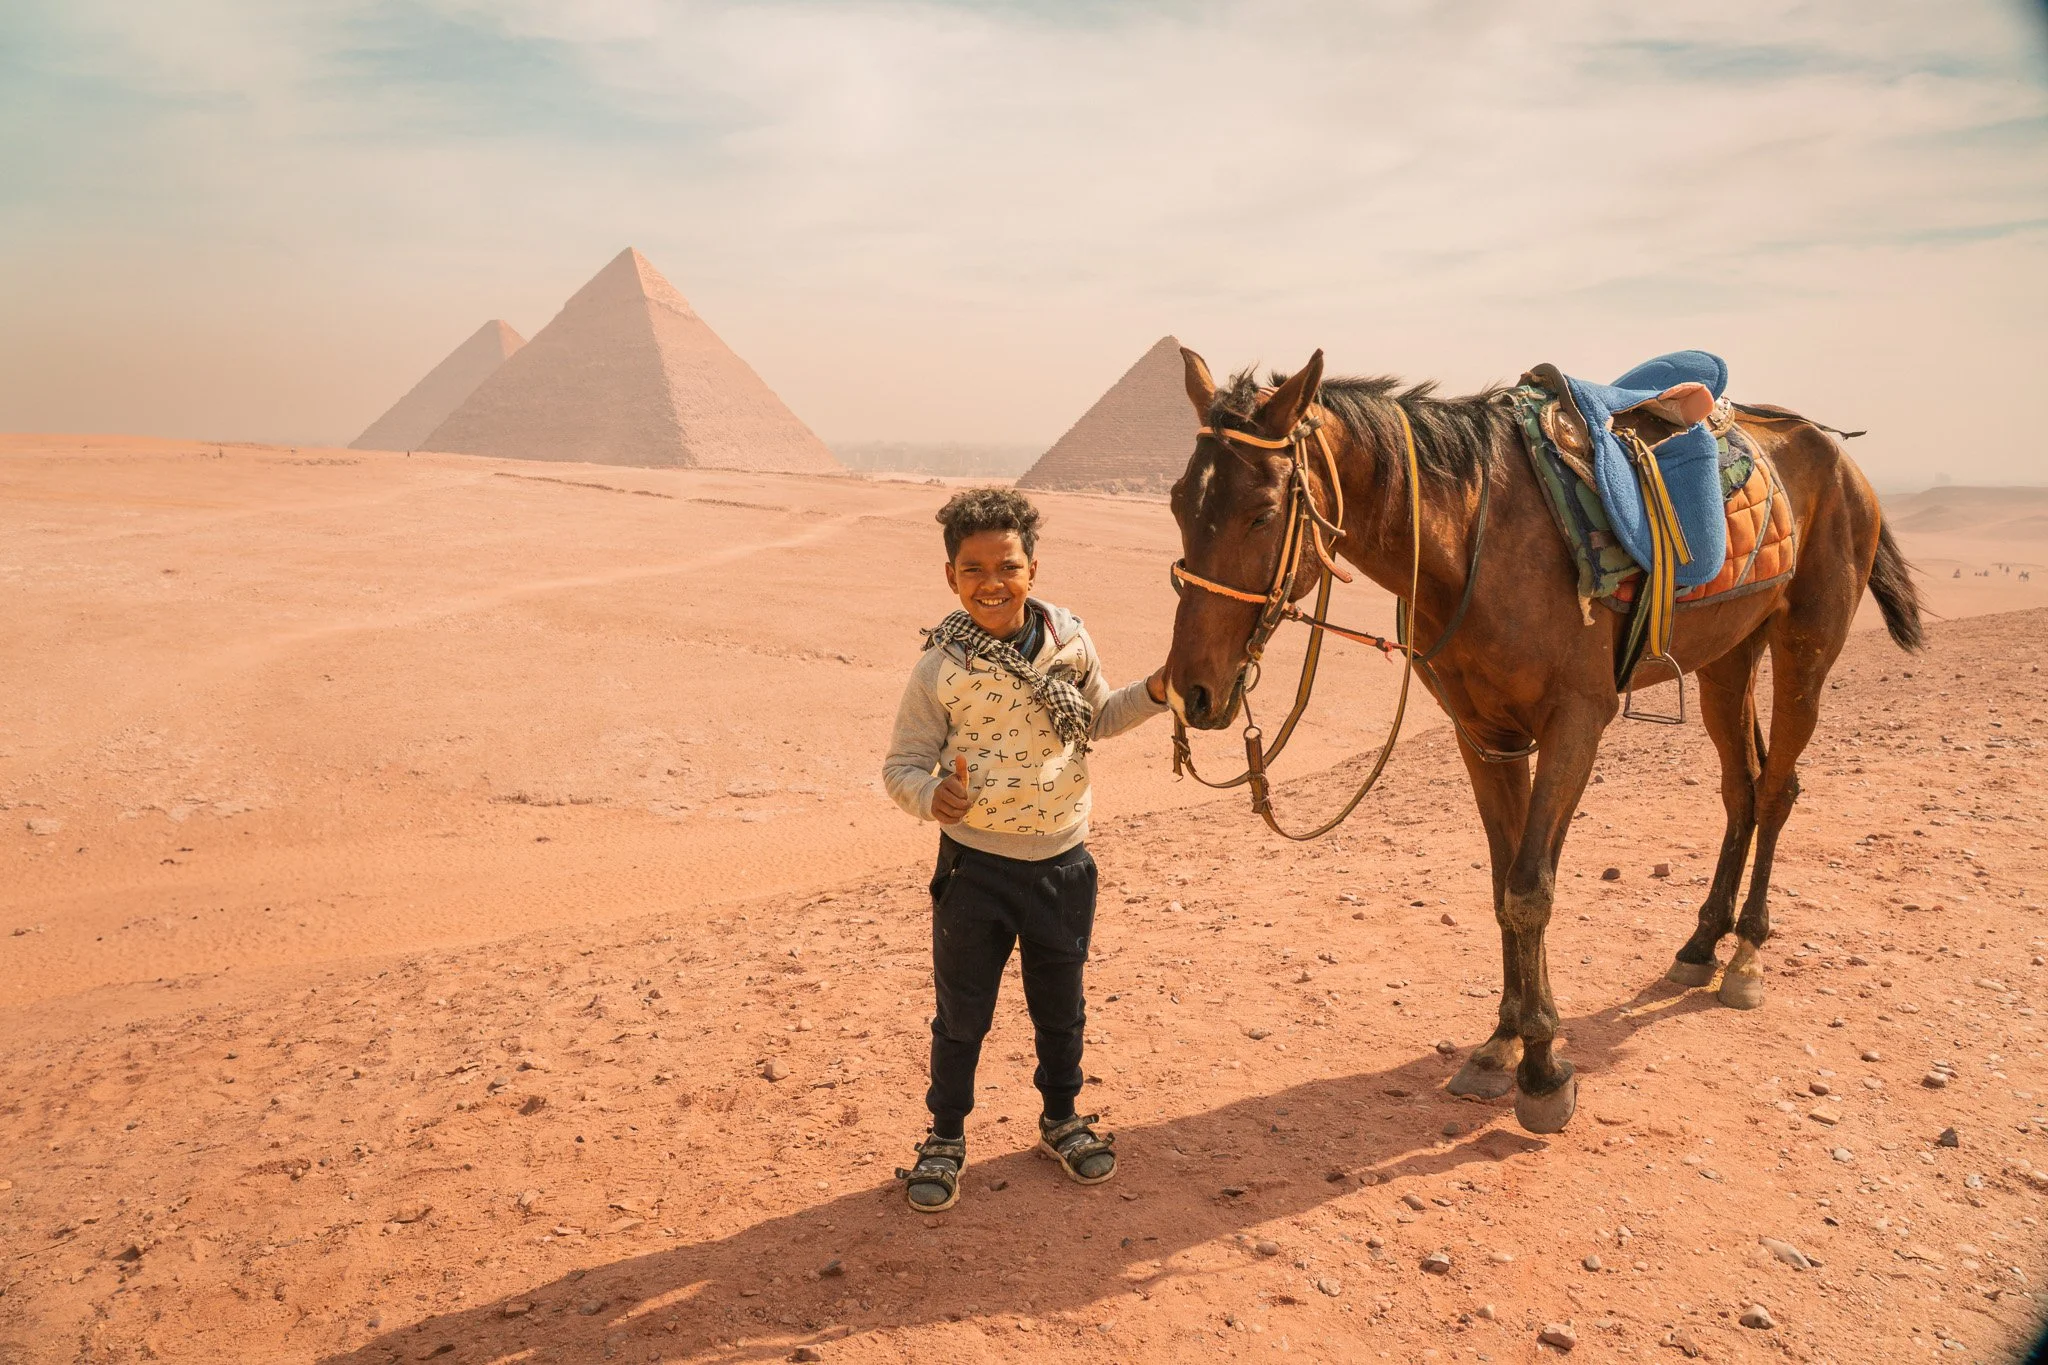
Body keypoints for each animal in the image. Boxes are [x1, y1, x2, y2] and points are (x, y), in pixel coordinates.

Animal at [1161, 347, 1924, 1134]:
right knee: (1740, 787)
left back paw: (1744, 955)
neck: (1473, 536)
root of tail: (1839, 455)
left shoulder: (1576, 723)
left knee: (1776, 789)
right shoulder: (1483, 733)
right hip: (1728, 657)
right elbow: (1504, 883)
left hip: (1806, 647)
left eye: (1263, 513)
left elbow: (1531, 888)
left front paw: (1543, 1070)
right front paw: (1503, 1042)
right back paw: (1702, 942)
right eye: (1179, 503)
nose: (1192, 690)